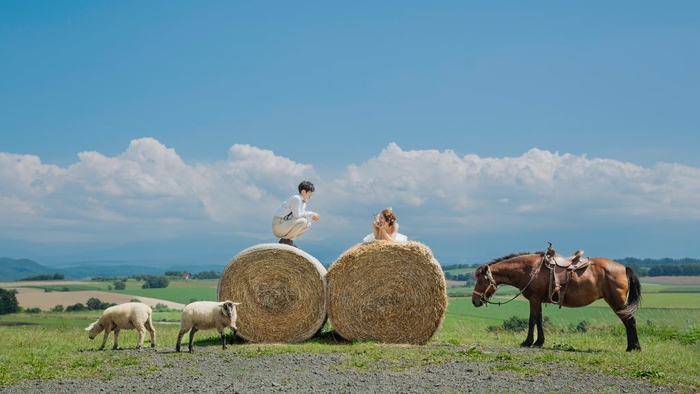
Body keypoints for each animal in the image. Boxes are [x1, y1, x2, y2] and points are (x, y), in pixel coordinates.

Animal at [470, 246, 640, 350]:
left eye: (481, 281)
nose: (474, 301)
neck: (530, 270)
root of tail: (624, 268)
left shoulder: (534, 299)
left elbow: (532, 320)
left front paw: (527, 342)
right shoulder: (538, 300)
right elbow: (539, 320)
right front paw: (539, 342)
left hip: (616, 302)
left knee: (630, 321)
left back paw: (634, 347)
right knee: (628, 321)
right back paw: (631, 347)